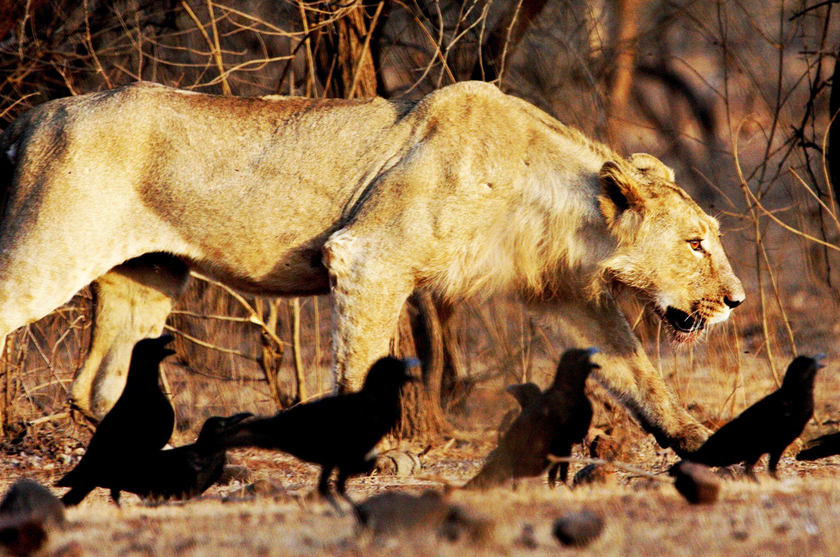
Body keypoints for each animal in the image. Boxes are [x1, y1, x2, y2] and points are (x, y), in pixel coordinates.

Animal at [0, 80, 744, 452]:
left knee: (94, 386)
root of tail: (39, 112)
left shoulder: (569, 293)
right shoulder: (368, 255)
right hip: (51, 249)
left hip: (148, 275)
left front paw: (693, 436)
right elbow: (359, 363)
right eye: (696, 244)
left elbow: (635, 367)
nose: (736, 300)